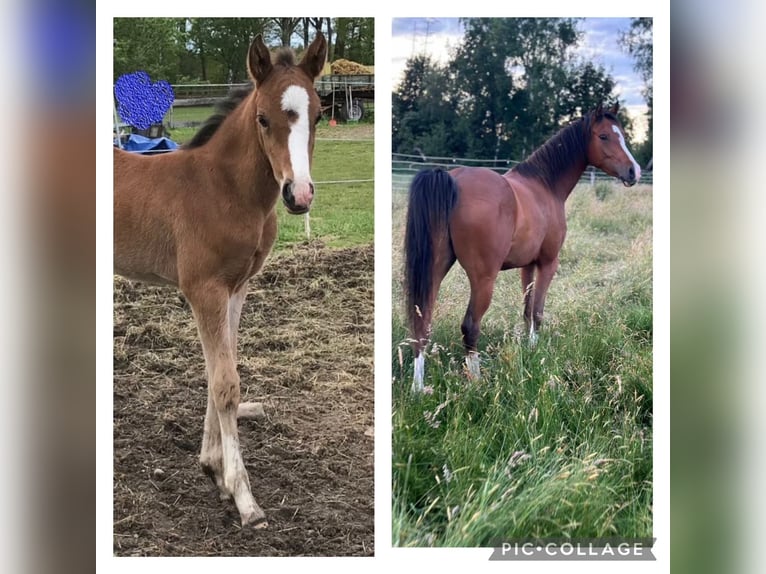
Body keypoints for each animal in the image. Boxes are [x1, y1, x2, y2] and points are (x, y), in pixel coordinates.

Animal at [113, 33, 328, 528]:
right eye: (263, 118)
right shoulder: (204, 290)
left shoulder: (235, 288)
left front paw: (213, 469)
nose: (299, 195)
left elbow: (219, 374)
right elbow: (226, 384)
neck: (223, 190)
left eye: (318, 115)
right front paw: (246, 499)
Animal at [408, 103, 640, 394]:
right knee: (470, 326)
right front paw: (535, 350)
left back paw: (418, 388)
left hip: (434, 270)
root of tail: (452, 178)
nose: (634, 171)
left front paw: (528, 350)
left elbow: (527, 311)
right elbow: (538, 311)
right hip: (483, 278)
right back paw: (477, 381)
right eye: (604, 136)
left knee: (422, 321)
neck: (544, 185)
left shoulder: (527, 266)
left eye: (622, 135)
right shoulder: (548, 263)